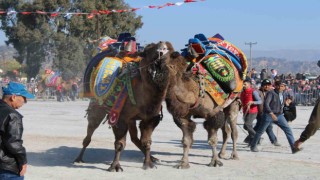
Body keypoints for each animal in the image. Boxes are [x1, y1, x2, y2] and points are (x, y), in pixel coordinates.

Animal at [74, 41, 176, 172]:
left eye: (170, 50)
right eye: (148, 50)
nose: (161, 50)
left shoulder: (150, 118)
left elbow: (147, 141)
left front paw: (148, 164)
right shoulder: (119, 117)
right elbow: (119, 143)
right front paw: (115, 166)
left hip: (130, 120)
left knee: (135, 138)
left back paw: (154, 158)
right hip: (96, 107)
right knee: (90, 132)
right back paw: (78, 158)